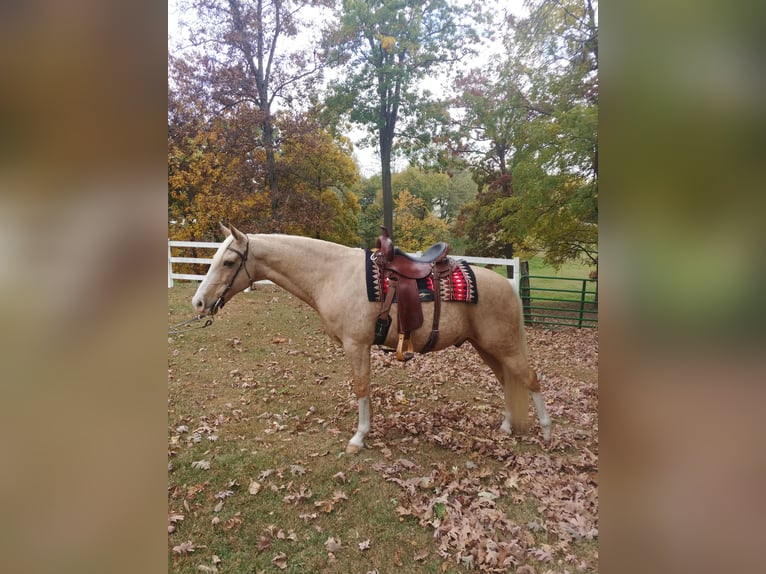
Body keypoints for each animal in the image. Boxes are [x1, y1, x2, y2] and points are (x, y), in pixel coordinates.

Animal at [192, 225, 552, 454]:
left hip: (503, 346)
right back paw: (506, 427)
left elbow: (362, 388)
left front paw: (359, 438)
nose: (198, 303)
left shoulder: (357, 345)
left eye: (228, 261)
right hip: (487, 348)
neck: (333, 275)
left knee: (531, 380)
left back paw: (547, 432)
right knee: (508, 382)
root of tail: (507, 286)